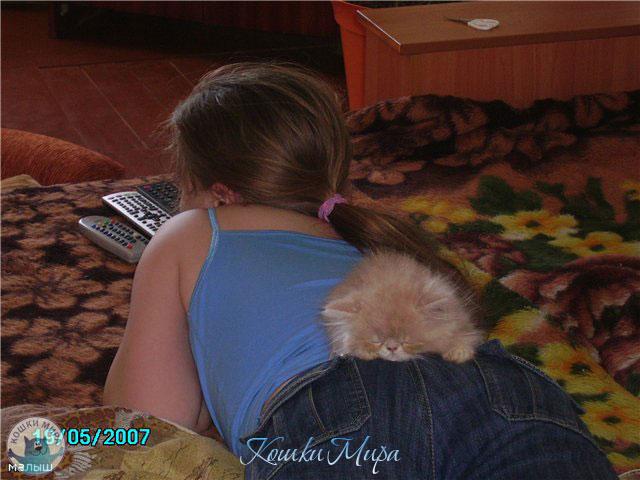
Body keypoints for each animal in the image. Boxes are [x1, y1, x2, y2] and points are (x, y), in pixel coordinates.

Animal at [321, 249, 483, 363]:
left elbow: (464, 333)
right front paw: (363, 351)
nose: (392, 347)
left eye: (407, 341)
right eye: (376, 341)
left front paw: (459, 350)